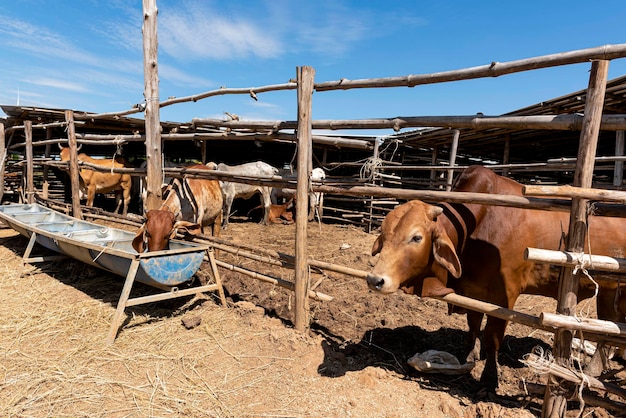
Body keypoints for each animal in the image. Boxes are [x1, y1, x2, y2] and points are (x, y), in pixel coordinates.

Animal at [366, 166, 626, 392]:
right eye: (384, 233)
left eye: (416, 237)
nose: (375, 280)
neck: (476, 226)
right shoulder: (473, 291)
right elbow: (472, 325)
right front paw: (468, 356)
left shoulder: (504, 296)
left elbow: (492, 338)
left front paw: (489, 379)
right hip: (610, 289)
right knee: (611, 324)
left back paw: (592, 370)